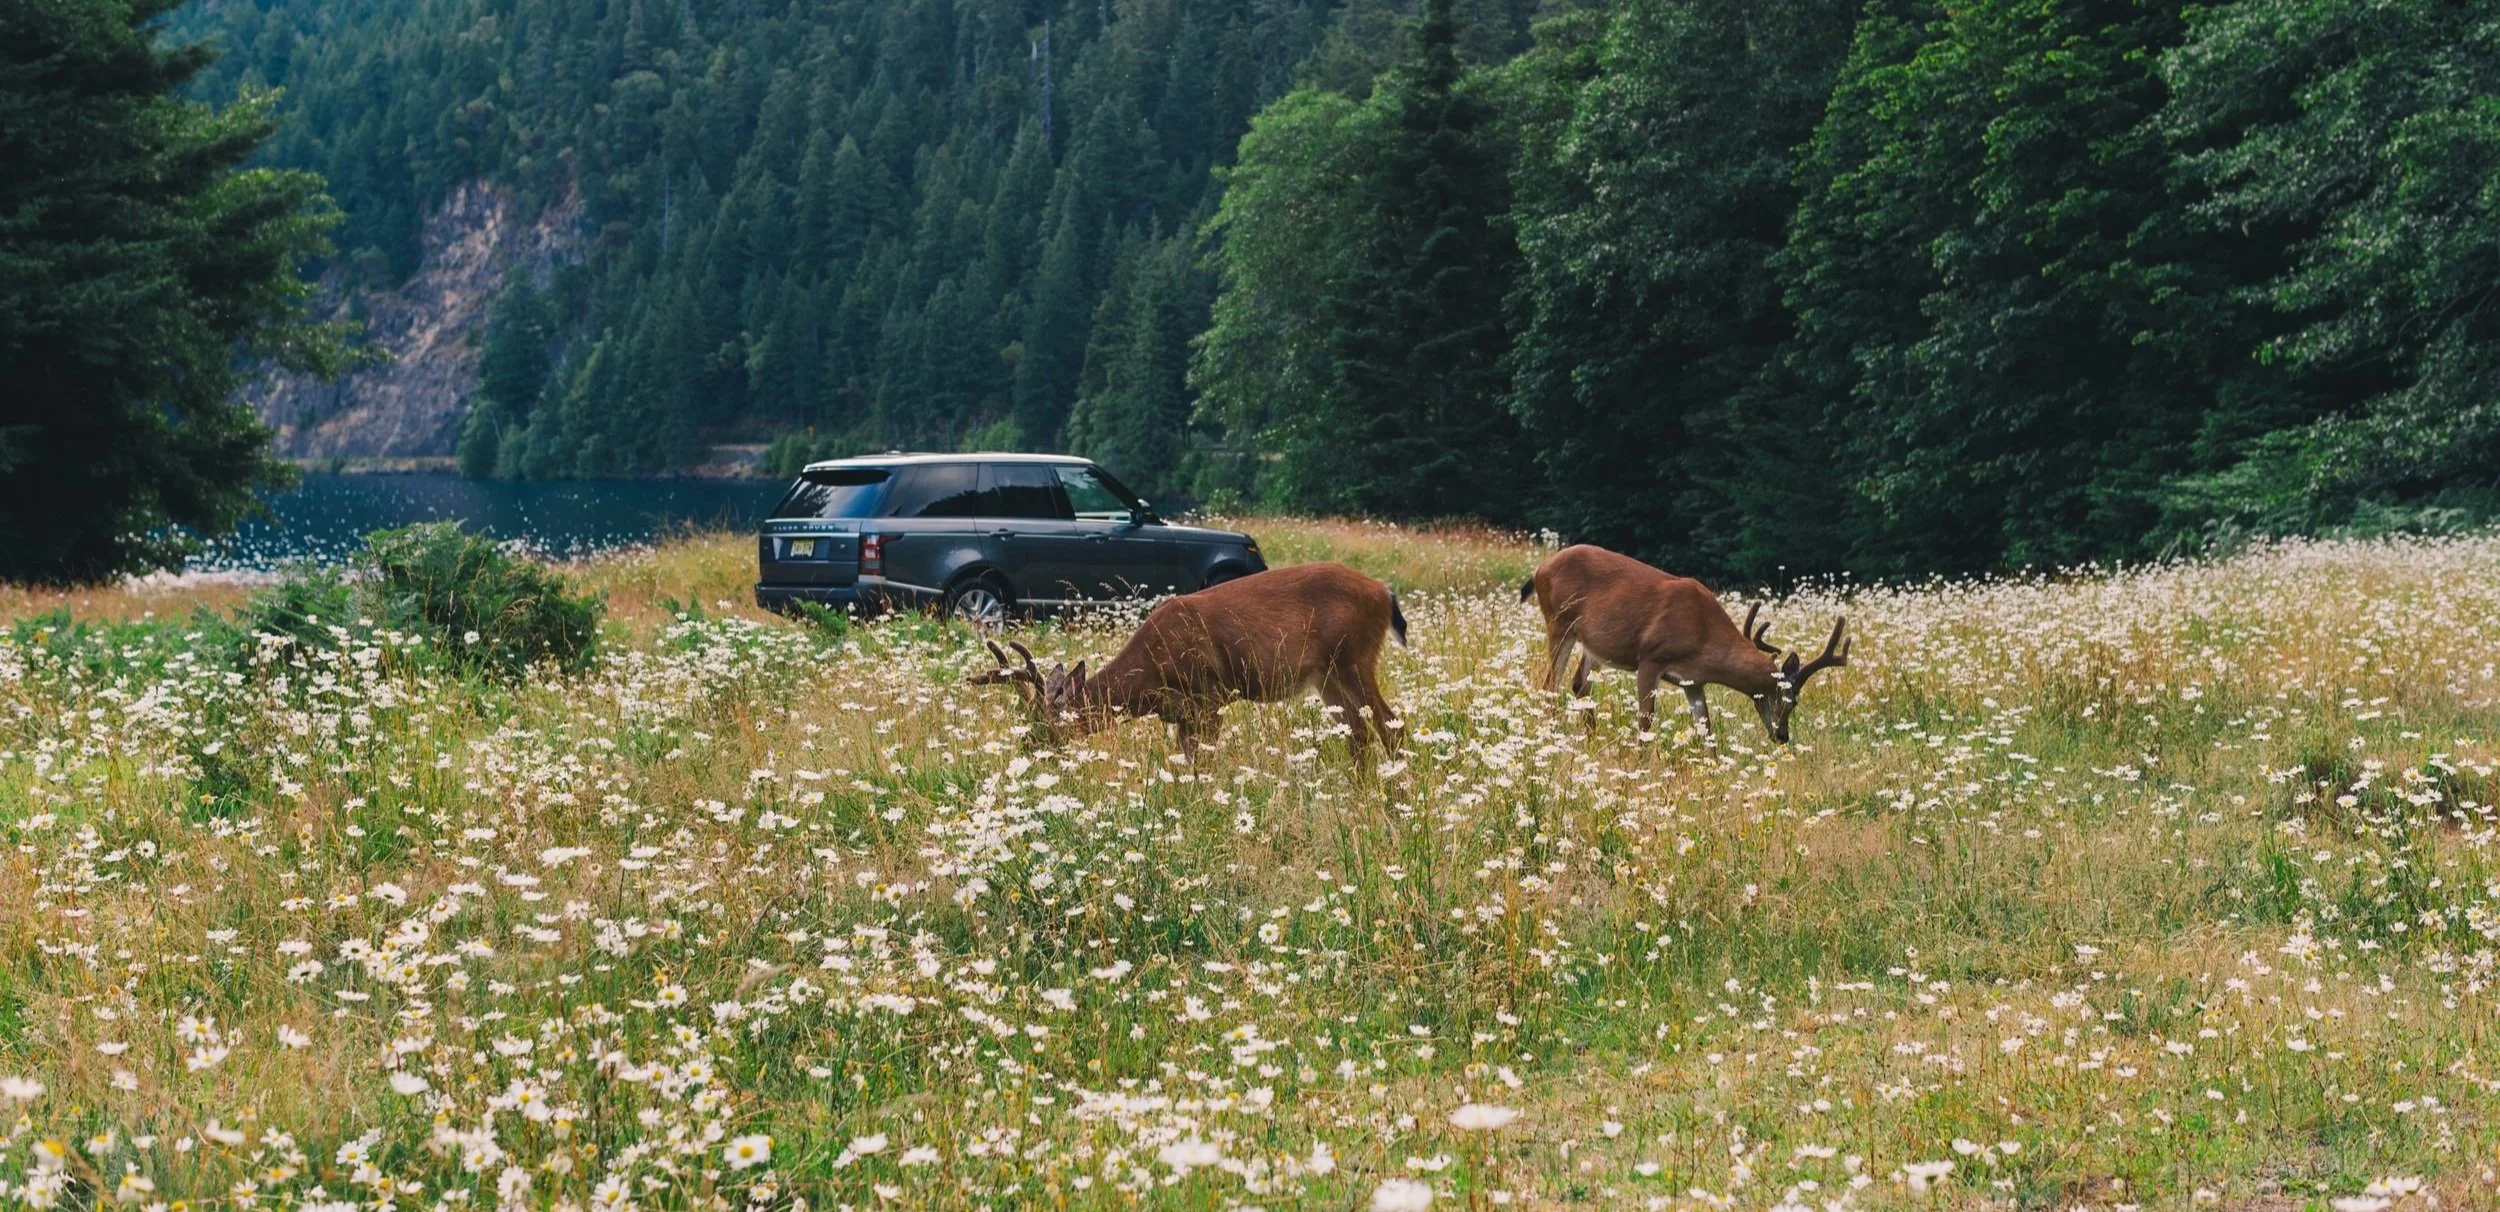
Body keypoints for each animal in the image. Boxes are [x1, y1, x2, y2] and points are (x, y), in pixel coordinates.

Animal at [970, 562, 1407, 755]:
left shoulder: (1210, 696)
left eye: (1050, 721)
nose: (1028, 745)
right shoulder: (1181, 715)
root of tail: (1383, 591)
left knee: (1391, 725)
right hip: (1326, 677)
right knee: (1359, 734)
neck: (1148, 680)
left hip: (1353, 658)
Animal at [1521, 544, 1848, 744]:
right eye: (1791, 700)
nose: (1782, 736)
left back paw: (1589, 739)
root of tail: (1539, 569)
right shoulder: (1650, 659)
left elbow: (1707, 730)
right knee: (1550, 684)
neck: (1703, 636)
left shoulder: (1693, 681)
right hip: (1559, 621)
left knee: (1578, 682)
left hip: (1594, 643)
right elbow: (1646, 720)